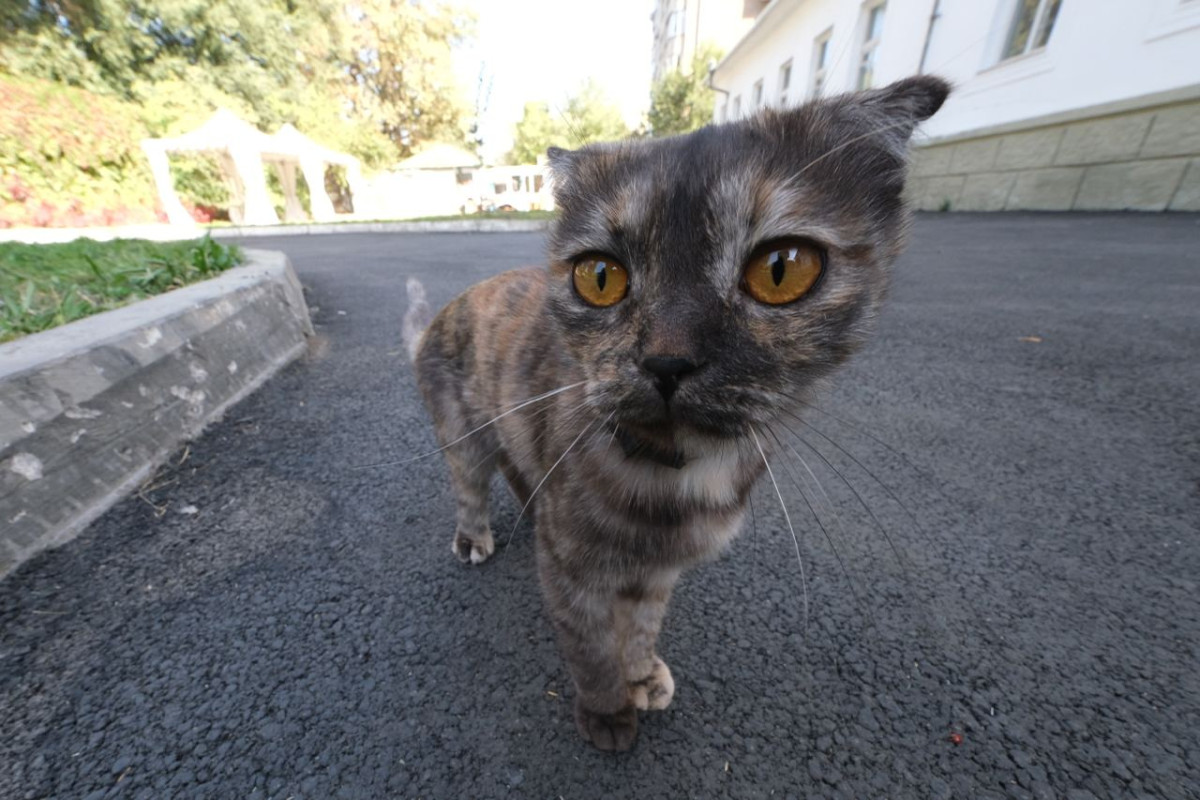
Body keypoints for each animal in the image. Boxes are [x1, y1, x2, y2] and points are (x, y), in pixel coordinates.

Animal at [408, 74, 950, 753]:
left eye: (782, 269)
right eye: (600, 276)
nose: (666, 361)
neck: (676, 475)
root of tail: (448, 306)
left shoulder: (657, 573)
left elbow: (642, 626)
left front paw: (641, 675)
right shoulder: (573, 576)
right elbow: (591, 647)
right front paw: (608, 712)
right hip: (463, 437)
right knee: (471, 488)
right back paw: (475, 536)